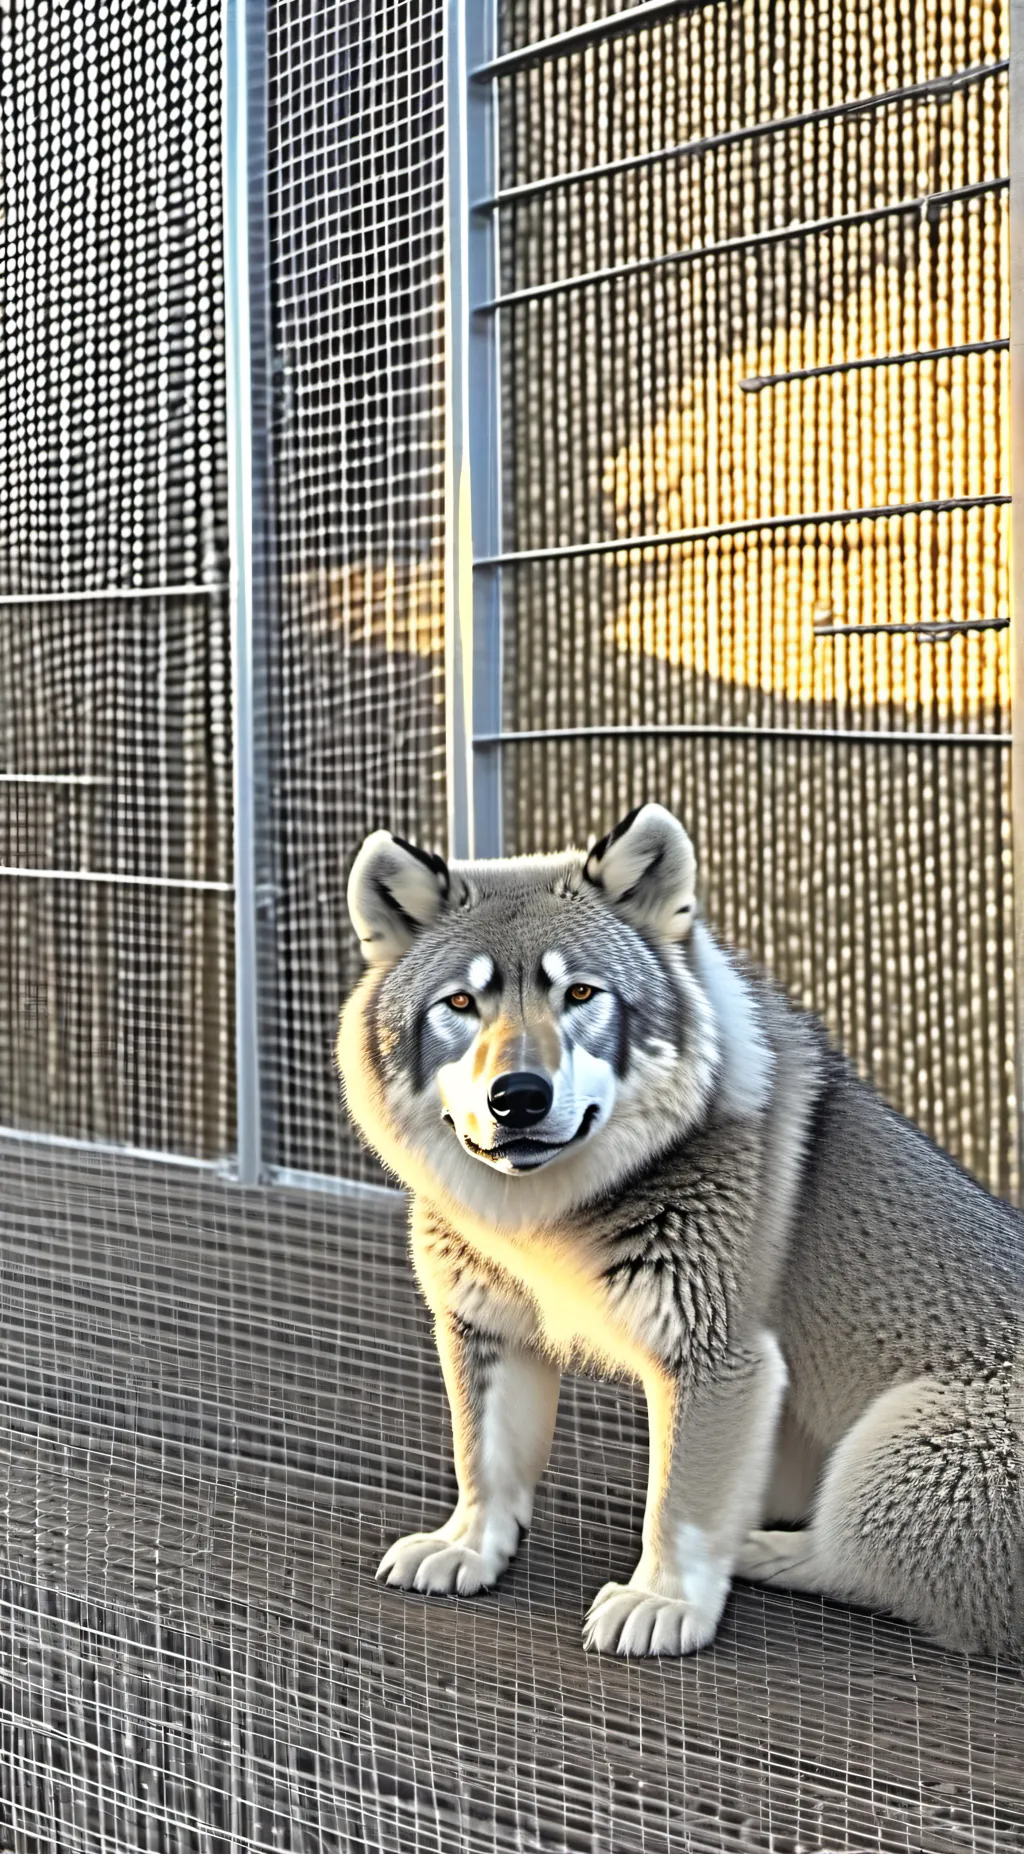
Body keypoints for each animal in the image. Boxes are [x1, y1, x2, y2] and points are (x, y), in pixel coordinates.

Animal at [337, 804, 1024, 1658]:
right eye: (461, 1004)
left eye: (581, 993)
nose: (518, 1098)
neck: (546, 1217)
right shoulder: (487, 1325)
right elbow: (484, 1460)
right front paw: (466, 1546)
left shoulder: (719, 1358)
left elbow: (682, 1508)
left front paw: (662, 1602)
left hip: (901, 1445)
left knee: (862, 1566)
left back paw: (764, 1550)